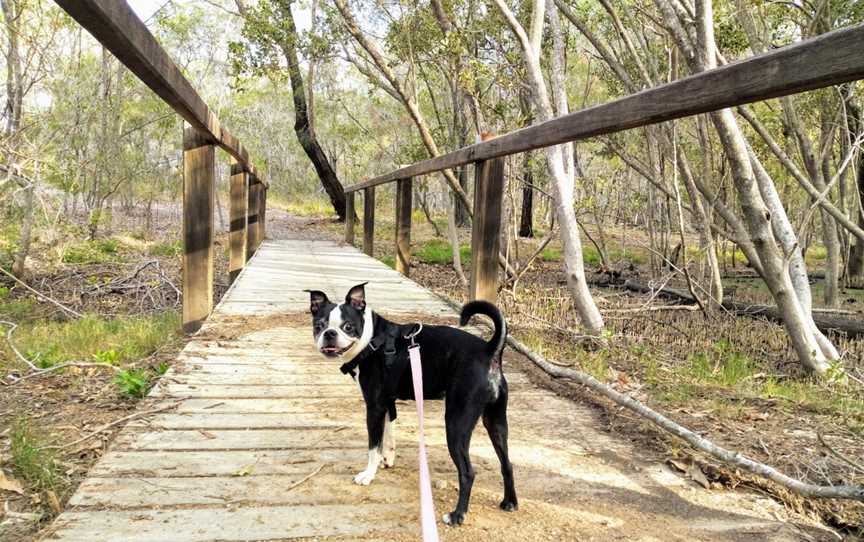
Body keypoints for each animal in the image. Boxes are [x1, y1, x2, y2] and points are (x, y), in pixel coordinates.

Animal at [308, 284, 516, 528]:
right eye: (319, 325)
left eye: (348, 327)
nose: (329, 334)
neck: (372, 341)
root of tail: (490, 350)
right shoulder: (388, 404)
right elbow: (388, 436)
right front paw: (387, 459)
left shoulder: (374, 407)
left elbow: (373, 446)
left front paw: (368, 475)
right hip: (495, 421)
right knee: (507, 463)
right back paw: (510, 502)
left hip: (456, 424)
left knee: (468, 473)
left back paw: (457, 515)